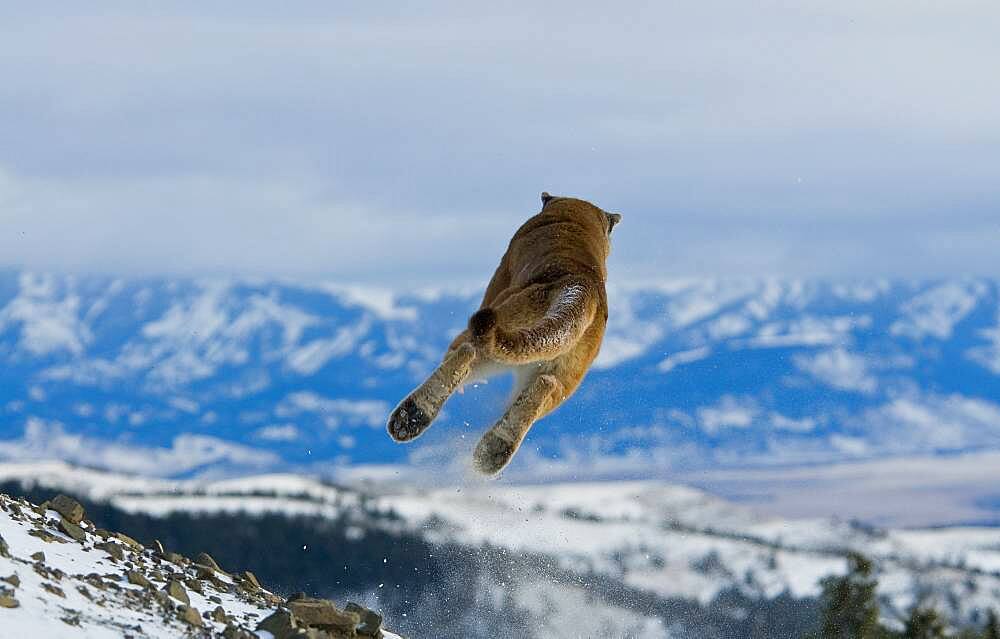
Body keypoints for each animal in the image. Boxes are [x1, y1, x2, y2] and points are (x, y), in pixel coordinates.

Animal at [386, 194, 620, 476]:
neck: (574, 219)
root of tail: (580, 286)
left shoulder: (499, 277)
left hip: (498, 324)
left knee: (466, 352)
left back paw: (410, 416)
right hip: (559, 370)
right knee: (544, 388)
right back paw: (493, 450)